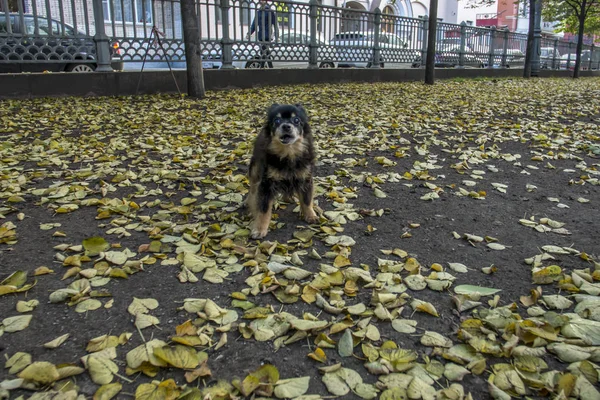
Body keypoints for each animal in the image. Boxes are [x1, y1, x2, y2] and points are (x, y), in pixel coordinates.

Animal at [246, 104, 318, 239]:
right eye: (277, 121)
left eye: (296, 120)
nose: (286, 126)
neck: (288, 154)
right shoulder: (266, 185)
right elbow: (263, 209)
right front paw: (260, 229)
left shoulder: (306, 179)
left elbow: (307, 200)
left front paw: (310, 215)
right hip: (255, 170)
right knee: (252, 189)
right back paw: (247, 201)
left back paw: (288, 198)